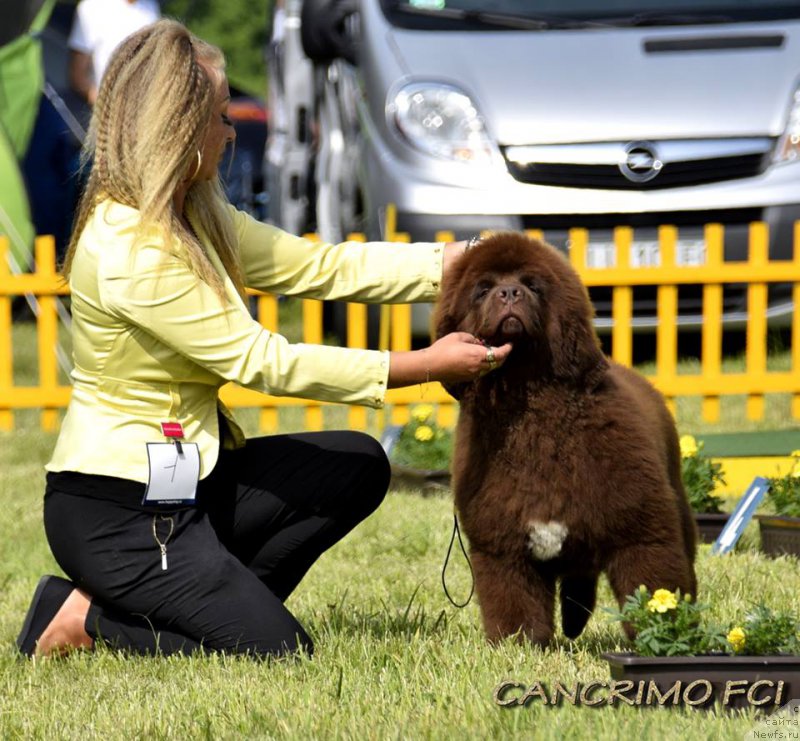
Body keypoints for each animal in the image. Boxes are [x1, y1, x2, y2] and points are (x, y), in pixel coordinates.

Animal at [434, 231, 696, 640]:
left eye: (532, 285)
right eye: (483, 289)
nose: (509, 293)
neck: (533, 416)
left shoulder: (640, 532)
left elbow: (652, 583)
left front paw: (662, 634)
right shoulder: (503, 546)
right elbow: (515, 601)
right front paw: (519, 642)